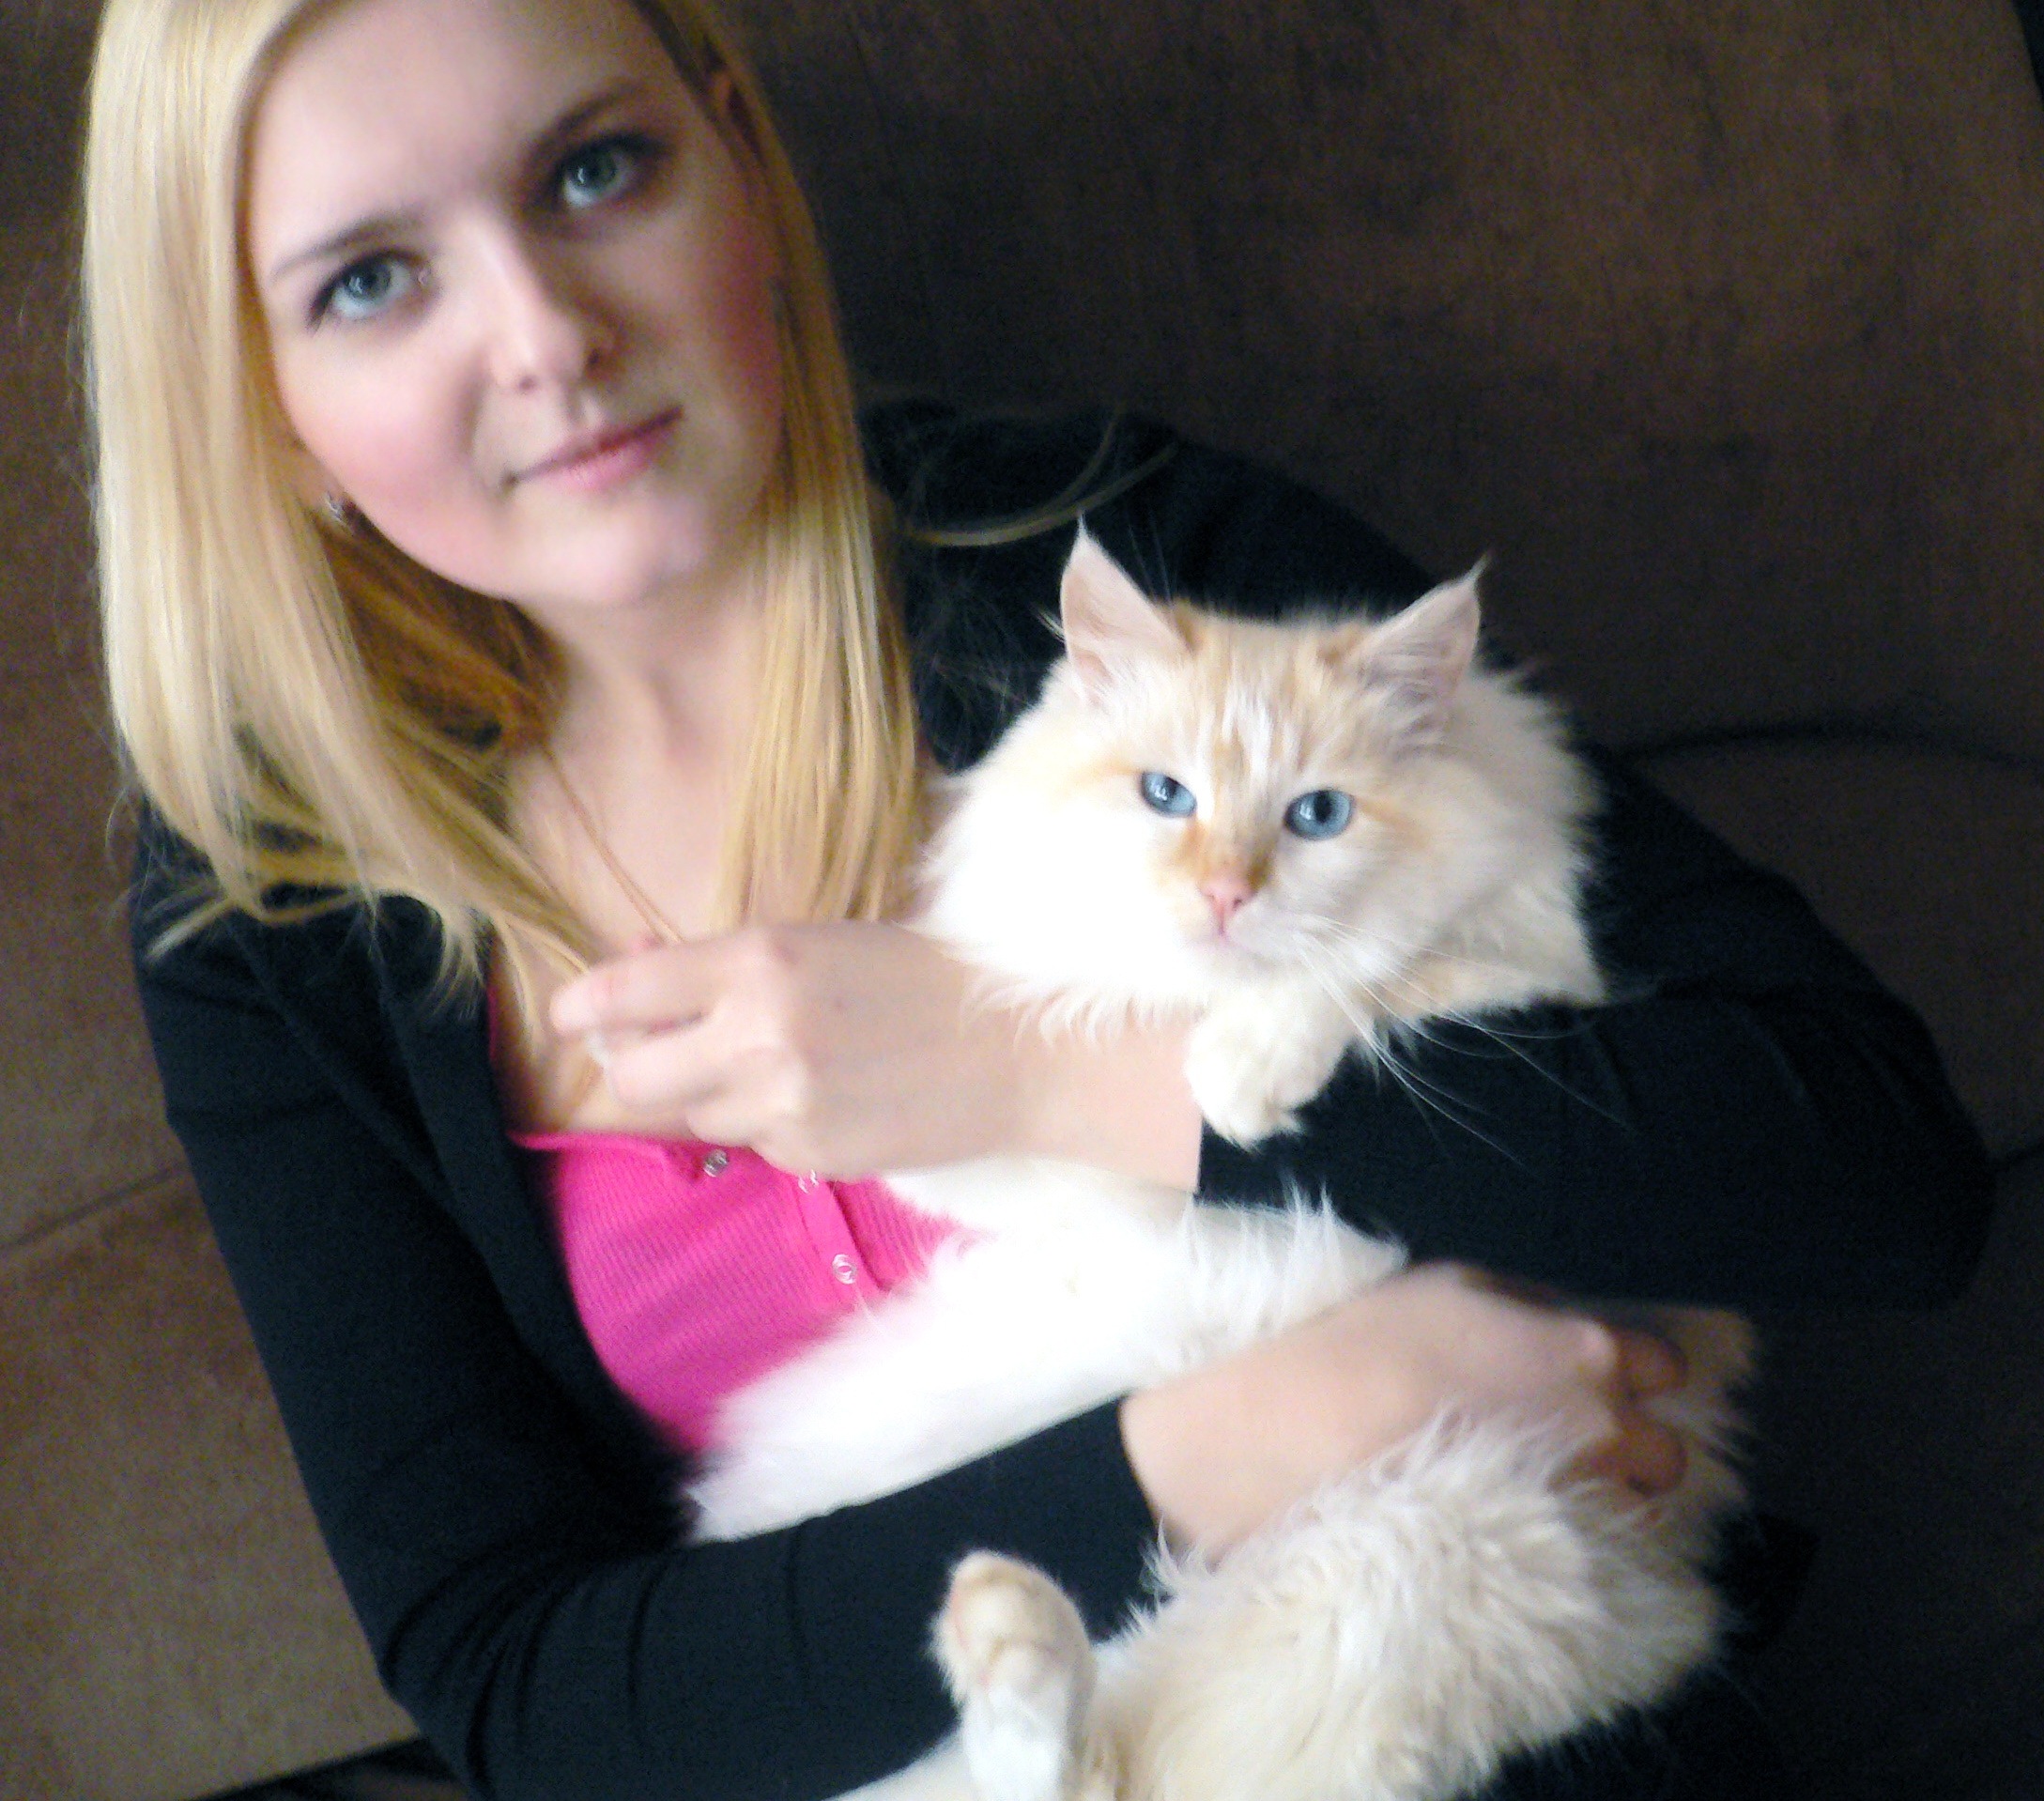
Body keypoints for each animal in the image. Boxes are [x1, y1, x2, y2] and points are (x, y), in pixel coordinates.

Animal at [684, 531, 1752, 1801]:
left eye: (1318, 816)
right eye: (1165, 796)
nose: (1224, 895)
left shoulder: (1527, 974)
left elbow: (1359, 978)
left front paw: (1237, 1079)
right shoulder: (1022, 1172)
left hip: (1413, 1559)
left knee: (1090, 1771)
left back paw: (1003, 1624)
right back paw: (999, 1623)